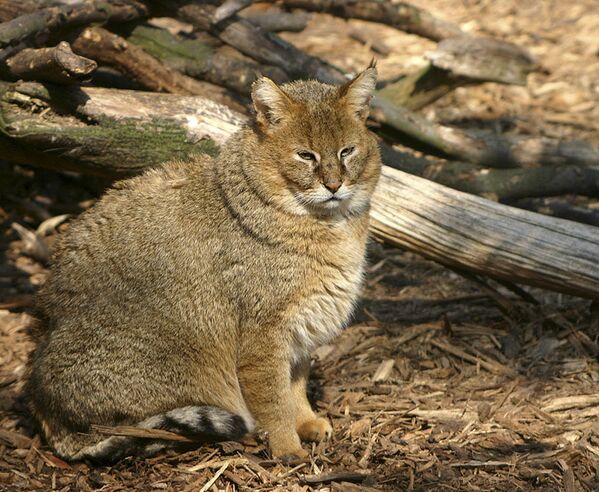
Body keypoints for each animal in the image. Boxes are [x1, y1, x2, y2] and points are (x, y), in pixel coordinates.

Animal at [27, 63, 380, 464]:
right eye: (306, 156)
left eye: (347, 151)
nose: (334, 185)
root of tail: (45, 415)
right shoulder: (264, 336)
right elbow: (274, 401)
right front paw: (288, 448)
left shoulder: (302, 329)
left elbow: (296, 385)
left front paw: (305, 422)